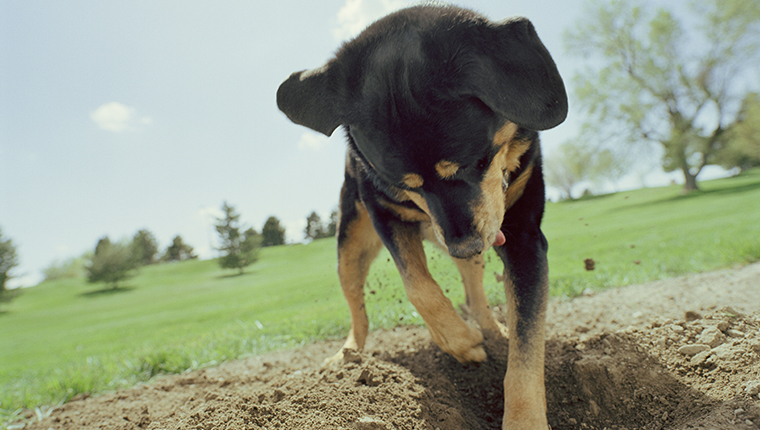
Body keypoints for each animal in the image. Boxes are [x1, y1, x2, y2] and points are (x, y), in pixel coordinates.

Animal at [278, 4, 564, 430]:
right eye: (403, 183)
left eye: (479, 161)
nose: (464, 246)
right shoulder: (383, 210)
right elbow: (418, 285)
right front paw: (460, 343)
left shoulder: (524, 236)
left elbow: (526, 349)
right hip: (350, 242)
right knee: (358, 312)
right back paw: (347, 359)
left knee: (475, 294)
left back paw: (494, 330)